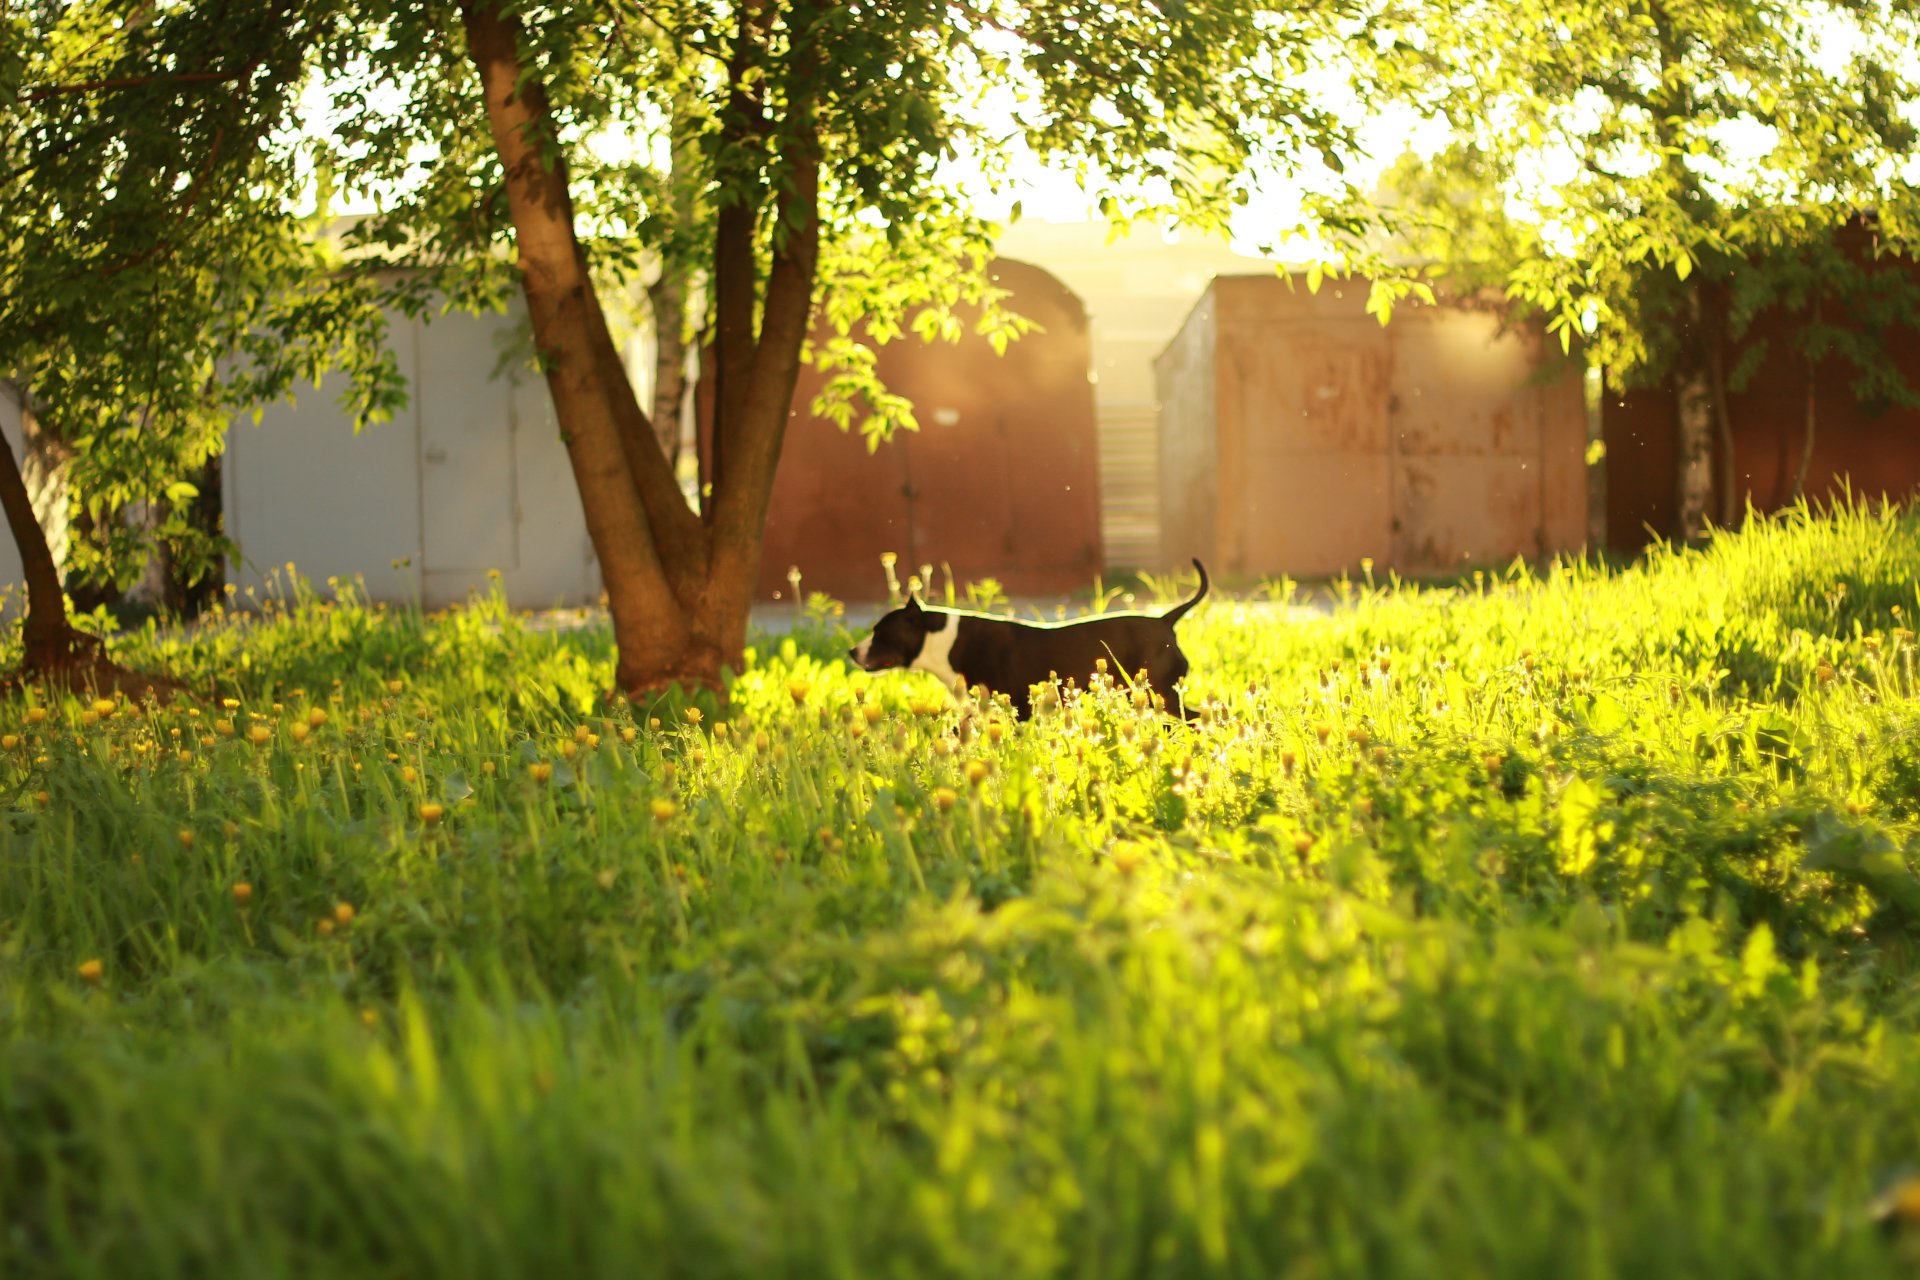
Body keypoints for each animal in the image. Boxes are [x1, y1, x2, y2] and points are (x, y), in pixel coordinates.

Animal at [848, 560, 1205, 721]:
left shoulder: (1018, 709)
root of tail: (1164, 619)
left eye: (879, 633)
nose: (852, 651)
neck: (944, 641)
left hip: (1163, 696)